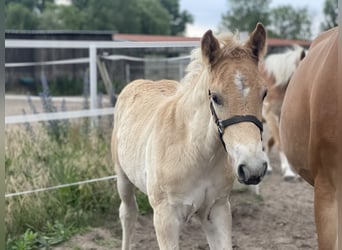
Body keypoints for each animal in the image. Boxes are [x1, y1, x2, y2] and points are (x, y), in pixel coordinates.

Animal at [113, 22, 268, 249]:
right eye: (215, 97)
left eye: (264, 93)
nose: (253, 168)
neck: (196, 153)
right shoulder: (165, 218)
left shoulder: (217, 210)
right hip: (122, 177)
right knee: (128, 214)